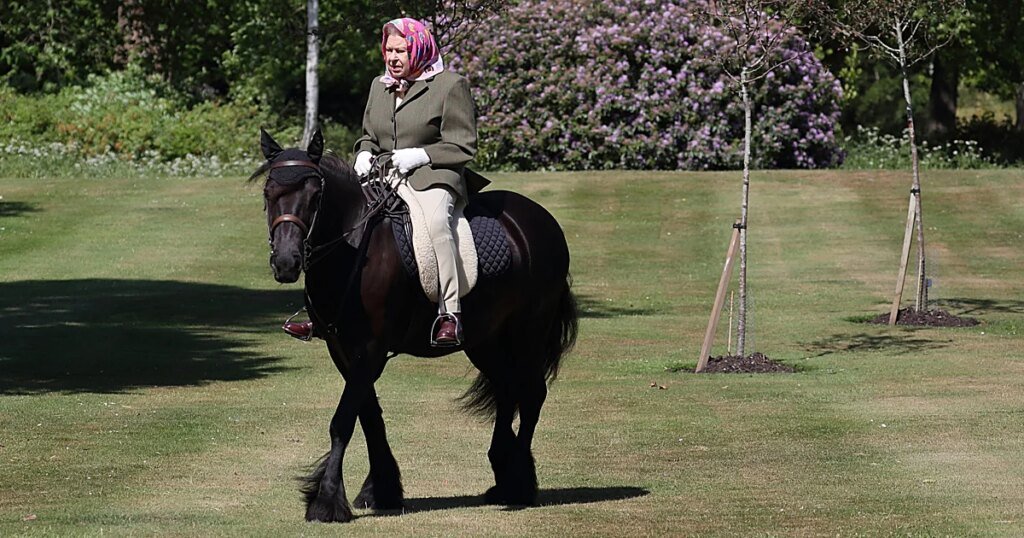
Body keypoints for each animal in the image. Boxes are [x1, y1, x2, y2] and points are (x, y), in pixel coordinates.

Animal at [250, 129, 578, 523]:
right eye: (269, 193)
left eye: (315, 196)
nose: (286, 262)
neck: (354, 247)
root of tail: (540, 219)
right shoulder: (343, 349)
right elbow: (369, 416)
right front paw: (381, 490)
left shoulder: (370, 350)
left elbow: (343, 420)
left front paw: (326, 500)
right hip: (485, 340)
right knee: (506, 389)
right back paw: (503, 475)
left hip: (528, 331)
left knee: (530, 395)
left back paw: (519, 485)